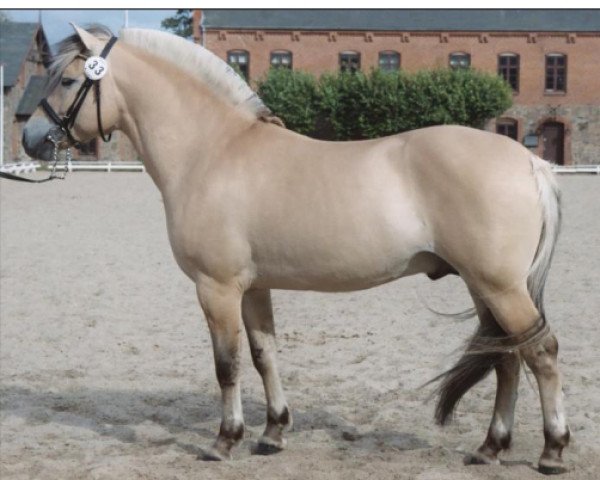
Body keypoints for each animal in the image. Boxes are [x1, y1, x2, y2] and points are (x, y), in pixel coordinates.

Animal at [21, 25, 568, 472]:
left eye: (67, 81)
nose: (29, 137)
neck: (212, 152)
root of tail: (528, 161)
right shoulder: (252, 287)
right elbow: (264, 355)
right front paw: (273, 433)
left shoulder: (216, 288)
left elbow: (227, 364)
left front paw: (225, 440)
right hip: (484, 286)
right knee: (506, 358)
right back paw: (490, 448)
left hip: (499, 286)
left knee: (540, 352)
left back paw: (552, 450)